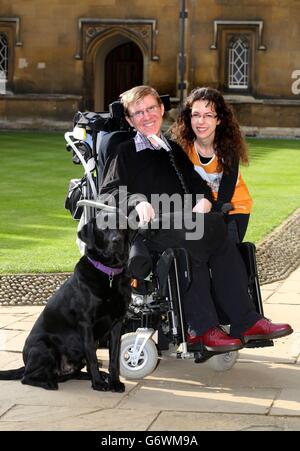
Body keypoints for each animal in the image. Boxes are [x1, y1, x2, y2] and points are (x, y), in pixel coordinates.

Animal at [0, 212, 131, 392]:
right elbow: (92, 358)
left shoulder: (117, 324)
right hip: (45, 347)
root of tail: (25, 363)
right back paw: (49, 383)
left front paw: (114, 382)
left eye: (121, 226)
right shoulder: (86, 324)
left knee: (72, 373)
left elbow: (114, 359)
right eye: (103, 228)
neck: (109, 274)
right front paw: (98, 384)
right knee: (26, 378)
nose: (116, 240)